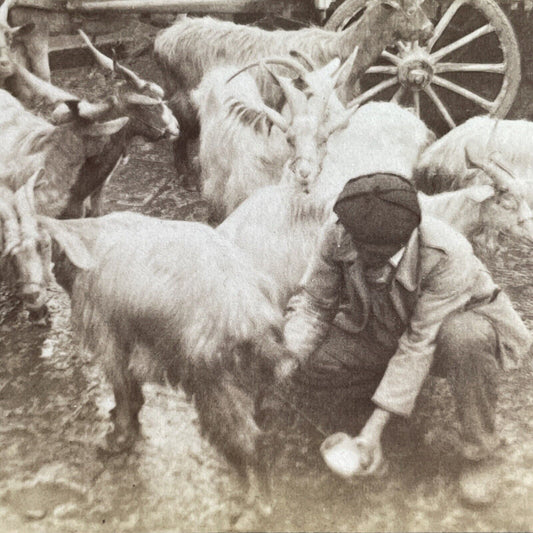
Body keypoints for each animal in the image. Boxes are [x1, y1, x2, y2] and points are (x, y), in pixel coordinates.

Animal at [153, 1, 432, 187]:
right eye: (409, 10)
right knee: (179, 131)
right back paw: (185, 176)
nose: (430, 30)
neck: (340, 51)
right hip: (184, 97)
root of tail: (164, 37)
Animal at [191, 50, 358, 220]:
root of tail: (220, 70)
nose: (345, 120)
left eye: (333, 91)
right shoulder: (241, 194)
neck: (268, 146)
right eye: (309, 93)